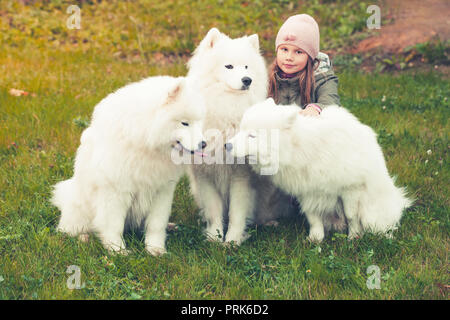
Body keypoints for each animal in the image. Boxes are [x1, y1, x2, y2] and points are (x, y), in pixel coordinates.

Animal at [52, 76, 206, 256]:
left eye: (199, 122)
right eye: (184, 123)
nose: (203, 144)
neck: (147, 145)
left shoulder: (162, 191)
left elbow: (156, 224)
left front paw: (156, 249)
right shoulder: (116, 192)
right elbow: (114, 226)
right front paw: (117, 251)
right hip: (80, 209)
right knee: (70, 229)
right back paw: (83, 237)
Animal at [185, 28, 268, 244]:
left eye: (246, 66)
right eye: (229, 66)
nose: (247, 80)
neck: (227, 106)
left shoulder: (241, 175)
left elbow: (237, 212)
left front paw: (232, 240)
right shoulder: (205, 174)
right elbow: (214, 209)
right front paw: (214, 237)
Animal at [227, 99, 414, 241]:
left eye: (252, 135)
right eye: (241, 130)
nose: (227, 145)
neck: (302, 148)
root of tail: (398, 200)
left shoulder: (351, 189)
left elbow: (351, 215)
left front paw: (354, 237)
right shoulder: (307, 190)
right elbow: (313, 217)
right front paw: (315, 238)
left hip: (372, 214)